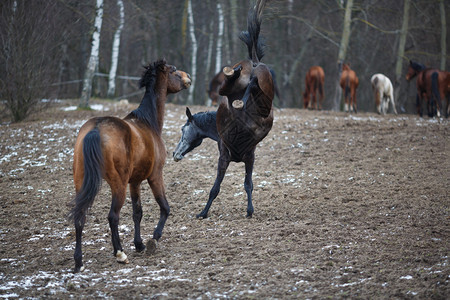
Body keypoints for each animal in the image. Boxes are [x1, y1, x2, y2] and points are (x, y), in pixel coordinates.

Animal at [68, 58, 192, 272]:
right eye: (174, 70)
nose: (188, 78)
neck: (148, 122)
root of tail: (96, 128)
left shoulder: (135, 182)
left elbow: (137, 212)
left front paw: (139, 244)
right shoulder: (154, 176)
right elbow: (164, 207)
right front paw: (153, 239)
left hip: (82, 182)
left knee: (80, 216)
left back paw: (79, 262)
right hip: (118, 184)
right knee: (112, 216)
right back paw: (120, 253)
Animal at [177, 0, 274, 220]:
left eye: (182, 129)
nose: (175, 154)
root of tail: (254, 62)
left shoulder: (234, 157)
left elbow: (225, 187)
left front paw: (204, 212)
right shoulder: (243, 157)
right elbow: (240, 185)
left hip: (258, 94)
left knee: (242, 86)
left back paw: (238, 79)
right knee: (241, 88)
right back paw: (237, 78)